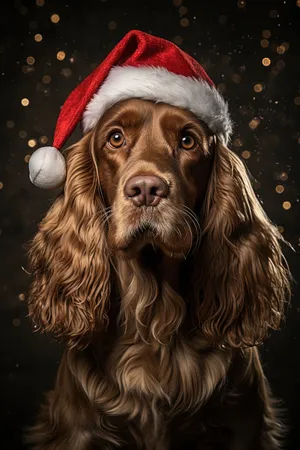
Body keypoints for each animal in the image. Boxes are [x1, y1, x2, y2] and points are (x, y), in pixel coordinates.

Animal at [26, 96, 292, 448]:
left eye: (187, 140)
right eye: (115, 138)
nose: (146, 189)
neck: (154, 319)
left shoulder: (243, 429)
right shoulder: (78, 432)